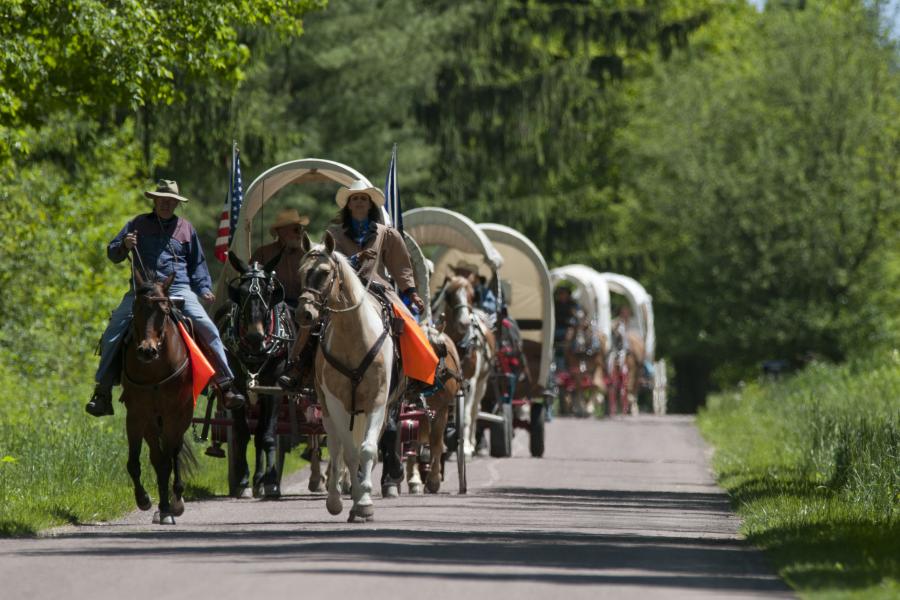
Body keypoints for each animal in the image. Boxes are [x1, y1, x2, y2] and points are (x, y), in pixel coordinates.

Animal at [122, 270, 196, 524]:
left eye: (164, 311)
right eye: (136, 308)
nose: (147, 350)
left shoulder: (174, 414)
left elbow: (167, 461)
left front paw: (169, 506)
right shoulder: (136, 415)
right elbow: (135, 462)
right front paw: (143, 499)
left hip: (180, 418)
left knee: (172, 454)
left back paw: (174, 502)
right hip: (153, 423)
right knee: (157, 456)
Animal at [220, 251, 298, 500]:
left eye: (267, 291)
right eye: (242, 292)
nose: (256, 335)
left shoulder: (272, 388)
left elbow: (267, 434)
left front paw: (271, 482)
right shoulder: (238, 388)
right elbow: (243, 433)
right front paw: (243, 481)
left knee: (263, 431)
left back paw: (262, 479)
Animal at [296, 232, 398, 524]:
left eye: (325, 272)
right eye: (301, 272)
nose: (304, 313)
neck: (355, 339)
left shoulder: (378, 402)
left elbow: (368, 449)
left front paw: (364, 502)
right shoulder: (336, 403)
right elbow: (349, 453)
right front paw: (354, 501)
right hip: (329, 410)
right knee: (337, 445)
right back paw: (336, 496)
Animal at [434, 276, 496, 460]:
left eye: (472, 295)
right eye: (448, 294)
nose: (464, 322)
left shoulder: (471, 382)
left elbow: (467, 416)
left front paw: (467, 447)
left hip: (482, 383)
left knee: (475, 411)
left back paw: (472, 443)